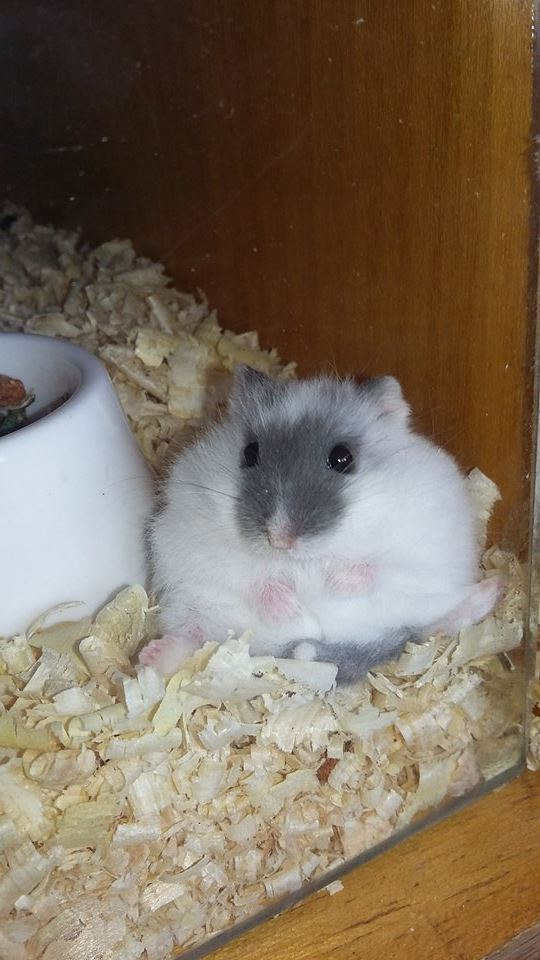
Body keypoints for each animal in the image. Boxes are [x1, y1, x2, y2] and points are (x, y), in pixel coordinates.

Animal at [139, 366, 501, 682]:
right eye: (250, 452)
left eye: (342, 458)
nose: (280, 540)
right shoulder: (195, 535)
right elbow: (251, 574)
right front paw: (289, 607)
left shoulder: (424, 549)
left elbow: (377, 569)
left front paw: (332, 583)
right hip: (190, 607)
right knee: (191, 638)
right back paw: (150, 658)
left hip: (421, 604)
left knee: (433, 622)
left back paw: (490, 590)